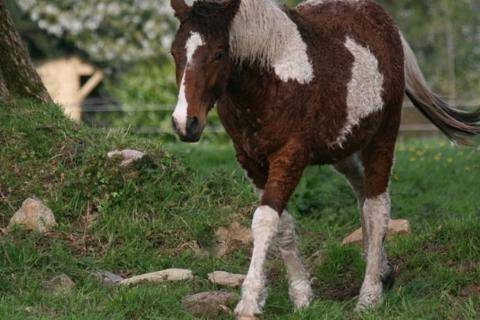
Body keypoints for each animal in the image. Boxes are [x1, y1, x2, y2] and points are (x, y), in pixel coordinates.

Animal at [168, 0, 480, 316]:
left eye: (219, 53)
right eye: (174, 52)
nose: (185, 124)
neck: (272, 79)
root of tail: (386, 21)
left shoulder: (290, 156)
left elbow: (265, 220)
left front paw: (249, 303)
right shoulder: (251, 161)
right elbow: (282, 223)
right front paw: (302, 296)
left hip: (383, 136)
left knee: (377, 207)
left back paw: (370, 295)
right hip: (342, 148)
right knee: (362, 194)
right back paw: (382, 270)